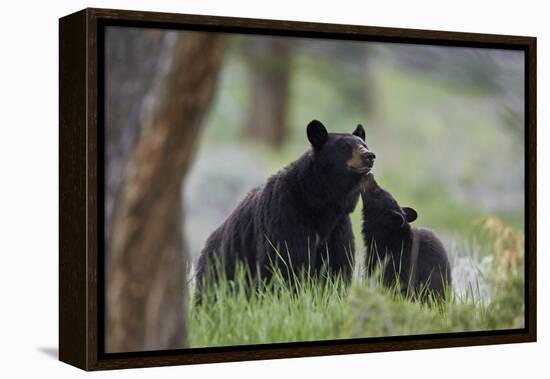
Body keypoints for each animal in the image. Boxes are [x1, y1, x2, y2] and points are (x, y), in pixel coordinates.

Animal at [196, 120, 378, 296]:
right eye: (345, 146)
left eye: (364, 144)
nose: (369, 155)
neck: (319, 203)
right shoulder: (285, 215)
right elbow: (286, 262)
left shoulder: (338, 228)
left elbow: (336, 267)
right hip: (220, 269)